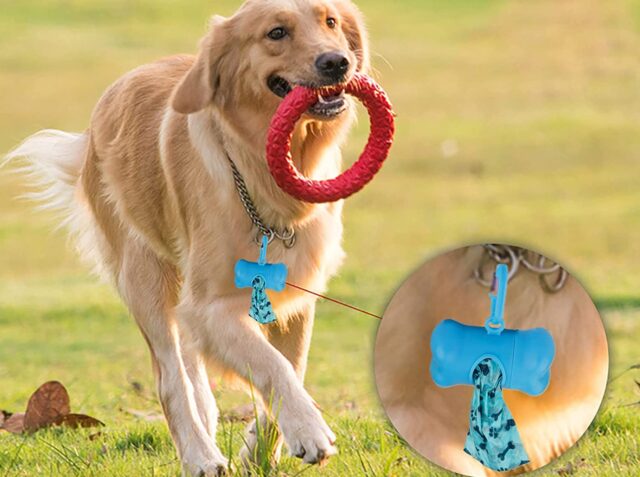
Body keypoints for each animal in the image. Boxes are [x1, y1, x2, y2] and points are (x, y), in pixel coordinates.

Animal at [3, 1, 370, 474]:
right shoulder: (209, 306)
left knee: (194, 374)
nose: (337, 62)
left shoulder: (295, 298)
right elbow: (272, 366)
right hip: (145, 280)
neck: (261, 176)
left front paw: (260, 450)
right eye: (276, 32)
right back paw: (199, 455)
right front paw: (308, 430)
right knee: (171, 379)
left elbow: (292, 365)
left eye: (331, 23)